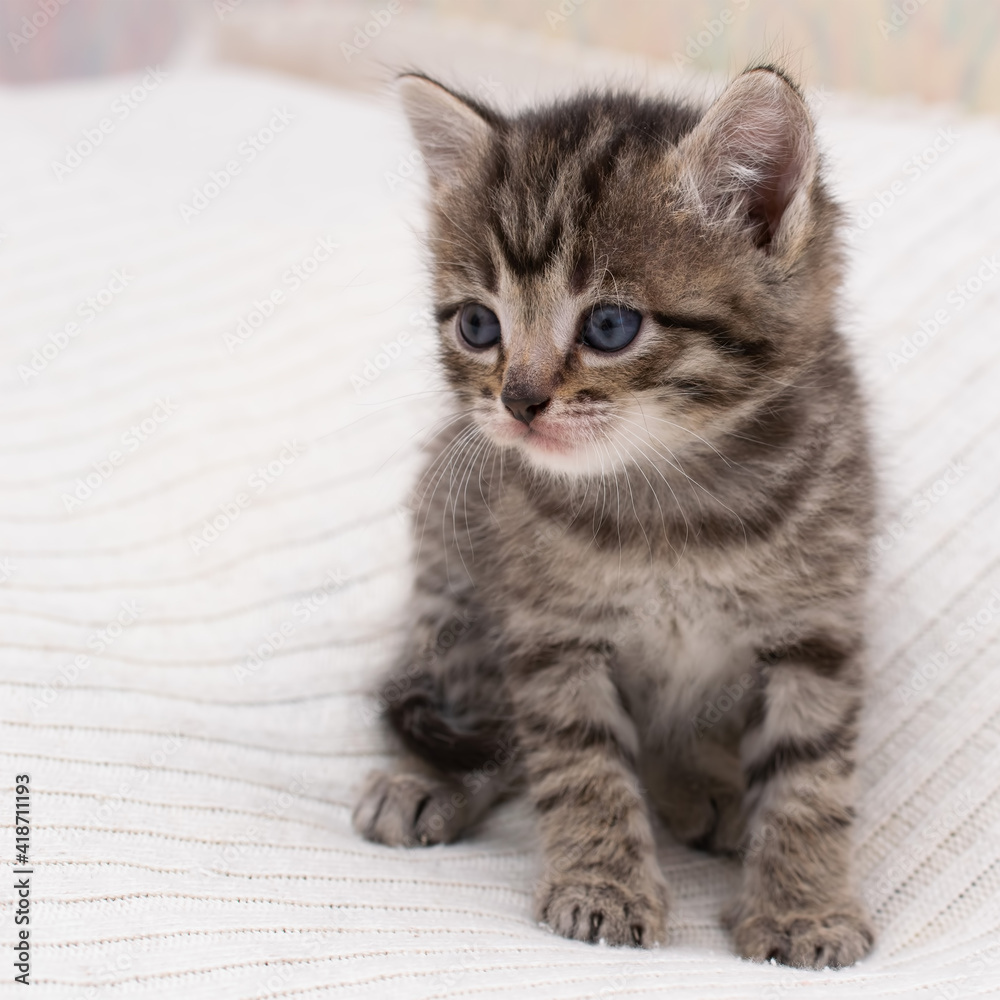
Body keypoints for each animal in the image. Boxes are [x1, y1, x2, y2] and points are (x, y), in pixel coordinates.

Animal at [354, 64, 876, 968]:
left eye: (609, 325)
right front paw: (601, 886)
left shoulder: (816, 627)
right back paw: (427, 781)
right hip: (451, 565)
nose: (518, 401)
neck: (669, 504)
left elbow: (810, 775)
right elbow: (580, 763)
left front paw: (803, 908)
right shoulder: (552, 633)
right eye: (478, 324)